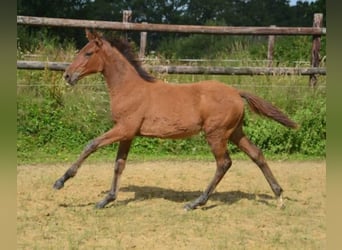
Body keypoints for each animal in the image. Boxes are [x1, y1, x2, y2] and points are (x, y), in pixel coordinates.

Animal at [52, 28, 296, 209]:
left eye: (87, 53)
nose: (67, 76)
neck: (130, 88)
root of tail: (237, 92)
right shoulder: (128, 134)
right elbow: (119, 164)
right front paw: (106, 199)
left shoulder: (124, 128)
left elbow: (91, 145)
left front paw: (61, 181)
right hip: (235, 132)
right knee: (257, 154)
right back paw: (279, 196)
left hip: (216, 134)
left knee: (224, 163)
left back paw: (196, 202)